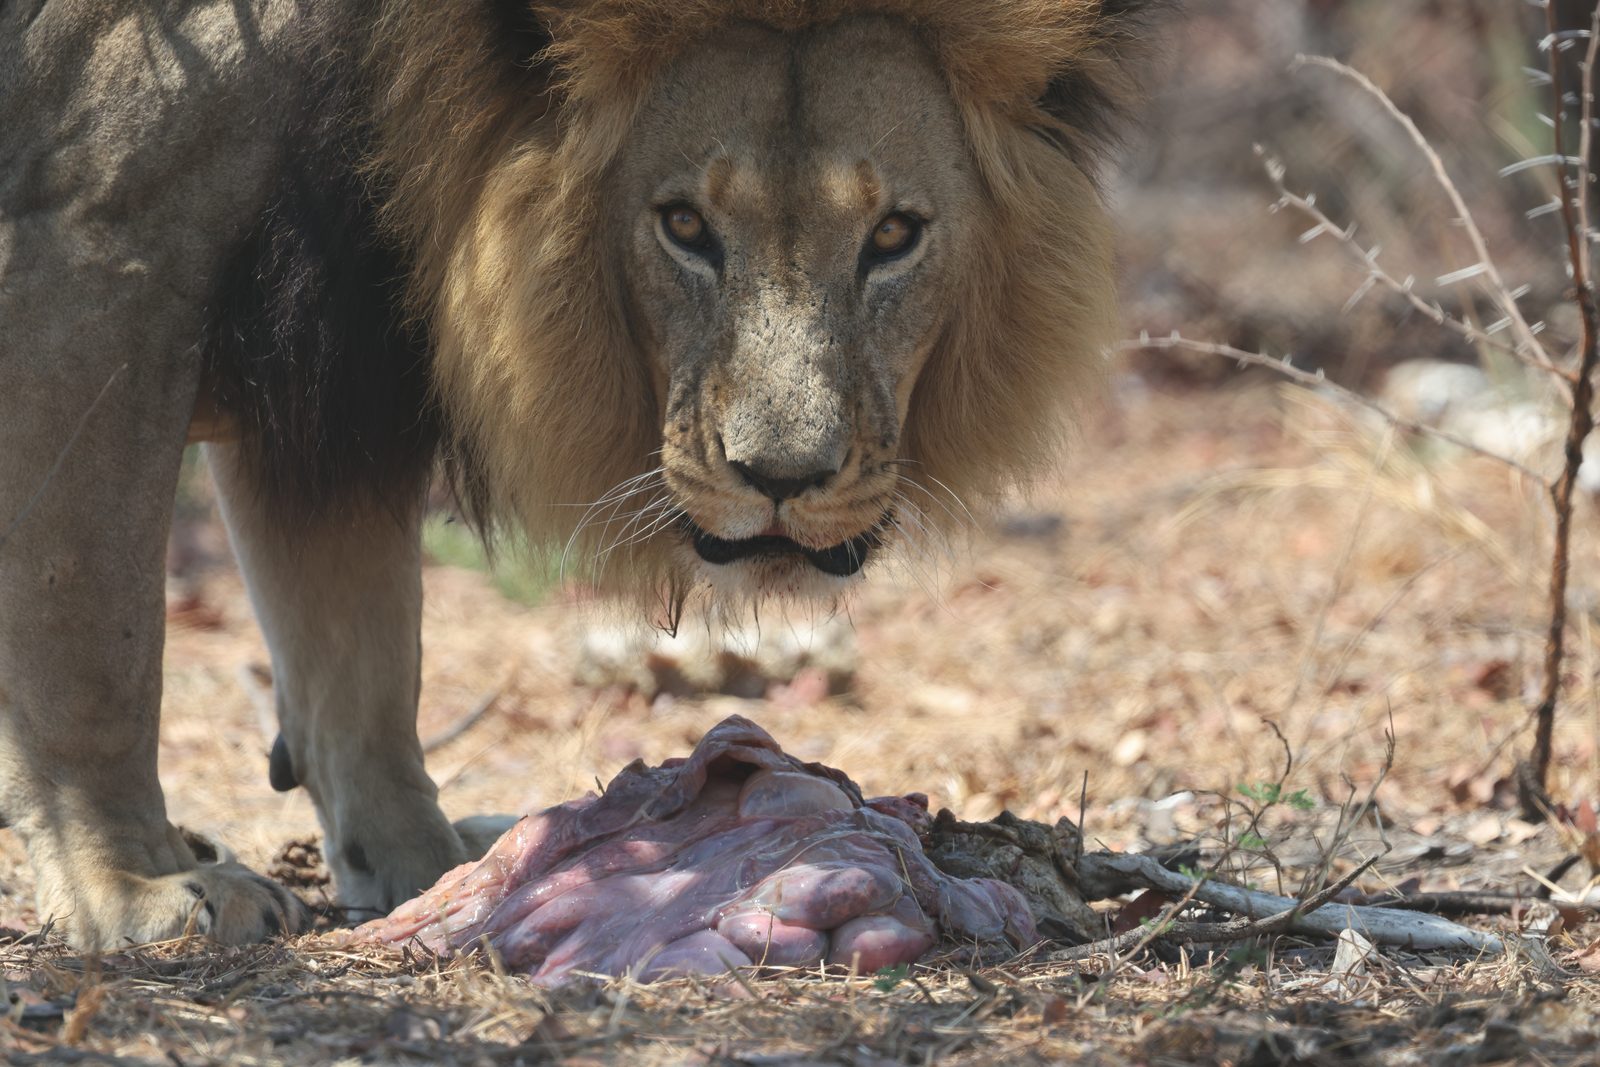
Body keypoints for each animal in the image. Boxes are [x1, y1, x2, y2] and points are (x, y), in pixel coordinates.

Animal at [0, 0, 1158, 950]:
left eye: (893, 235)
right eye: (684, 225)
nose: (781, 478)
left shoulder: (334, 374)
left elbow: (359, 663)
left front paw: (432, 866)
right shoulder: (98, 245)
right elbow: (94, 639)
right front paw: (133, 888)